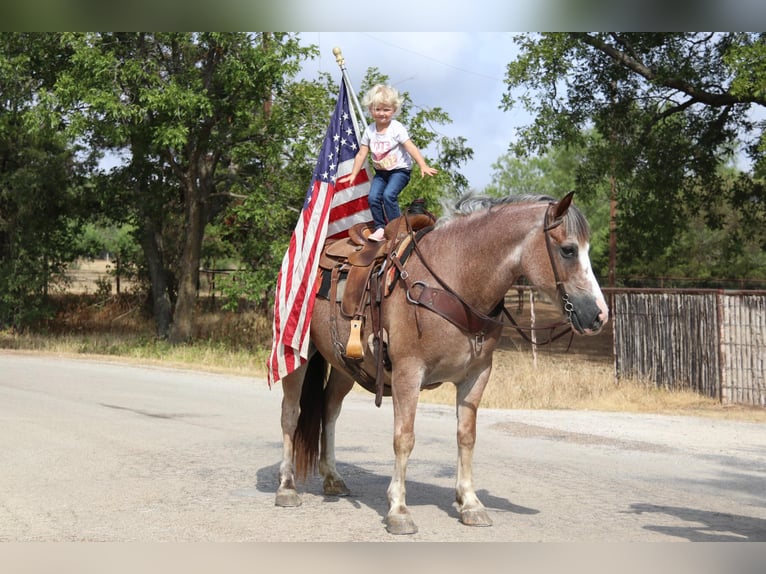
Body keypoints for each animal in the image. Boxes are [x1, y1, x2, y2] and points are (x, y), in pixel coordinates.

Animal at [272, 191, 608, 536]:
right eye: (568, 250)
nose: (598, 314)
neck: (456, 279)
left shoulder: (477, 375)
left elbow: (466, 436)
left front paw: (470, 503)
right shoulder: (408, 373)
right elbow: (404, 438)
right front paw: (399, 510)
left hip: (345, 367)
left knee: (329, 411)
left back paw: (333, 478)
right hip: (295, 352)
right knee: (291, 414)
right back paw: (287, 488)